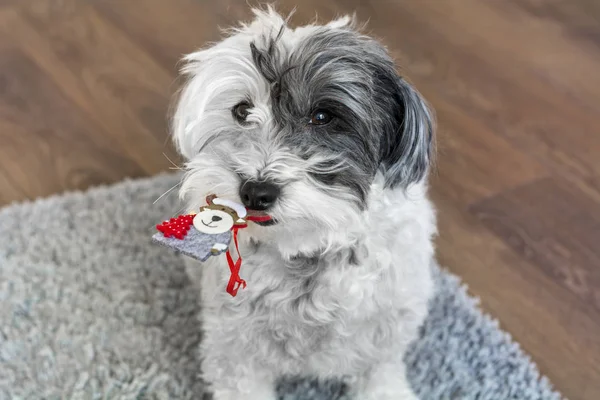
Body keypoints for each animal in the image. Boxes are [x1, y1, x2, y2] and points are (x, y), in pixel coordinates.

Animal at [171, 6, 438, 400]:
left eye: (323, 116)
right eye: (242, 111)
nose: (255, 191)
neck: (308, 250)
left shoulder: (384, 340)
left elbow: (380, 377)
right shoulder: (235, 352)